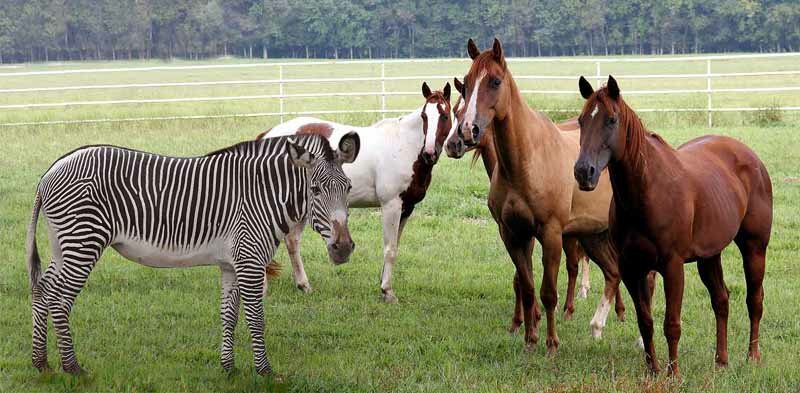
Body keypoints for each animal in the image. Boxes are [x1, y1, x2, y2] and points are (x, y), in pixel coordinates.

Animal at [25, 132, 360, 374]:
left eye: (348, 187)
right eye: (315, 190)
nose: (343, 248)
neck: (262, 195)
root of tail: (48, 173)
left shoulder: (231, 263)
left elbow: (229, 315)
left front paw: (228, 368)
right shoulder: (250, 260)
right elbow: (256, 317)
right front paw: (264, 371)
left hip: (62, 244)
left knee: (43, 290)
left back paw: (41, 363)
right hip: (83, 242)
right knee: (60, 299)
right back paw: (72, 367)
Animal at [260, 79, 454, 300]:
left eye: (445, 116)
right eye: (424, 116)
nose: (429, 153)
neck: (404, 144)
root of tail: (269, 135)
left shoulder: (407, 208)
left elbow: (394, 246)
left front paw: (383, 283)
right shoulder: (391, 206)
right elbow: (390, 249)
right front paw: (387, 291)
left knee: (292, 241)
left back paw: (303, 285)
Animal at [450, 39, 624, 352]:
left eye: (495, 81)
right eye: (467, 83)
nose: (466, 132)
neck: (525, 161)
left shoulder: (551, 234)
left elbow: (548, 292)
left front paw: (552, 342)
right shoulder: (513, 234)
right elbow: (527, 286)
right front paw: (529, 338)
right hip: (594, 235)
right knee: (614, 273)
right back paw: (599, 327)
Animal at [572, 75, 772, 376]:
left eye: (611, 120)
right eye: (582, 120)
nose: (584, 172)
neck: (647, 192)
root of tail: (751, 157)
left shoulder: (672, 266)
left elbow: (672, 324)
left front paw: (673, 373)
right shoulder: (631, 269)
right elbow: (646, 321)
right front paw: (653, 370)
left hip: (754, 248)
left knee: (754, 300)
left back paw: (753, 356)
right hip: (709, 256)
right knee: (721, 300)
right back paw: (721, 360)